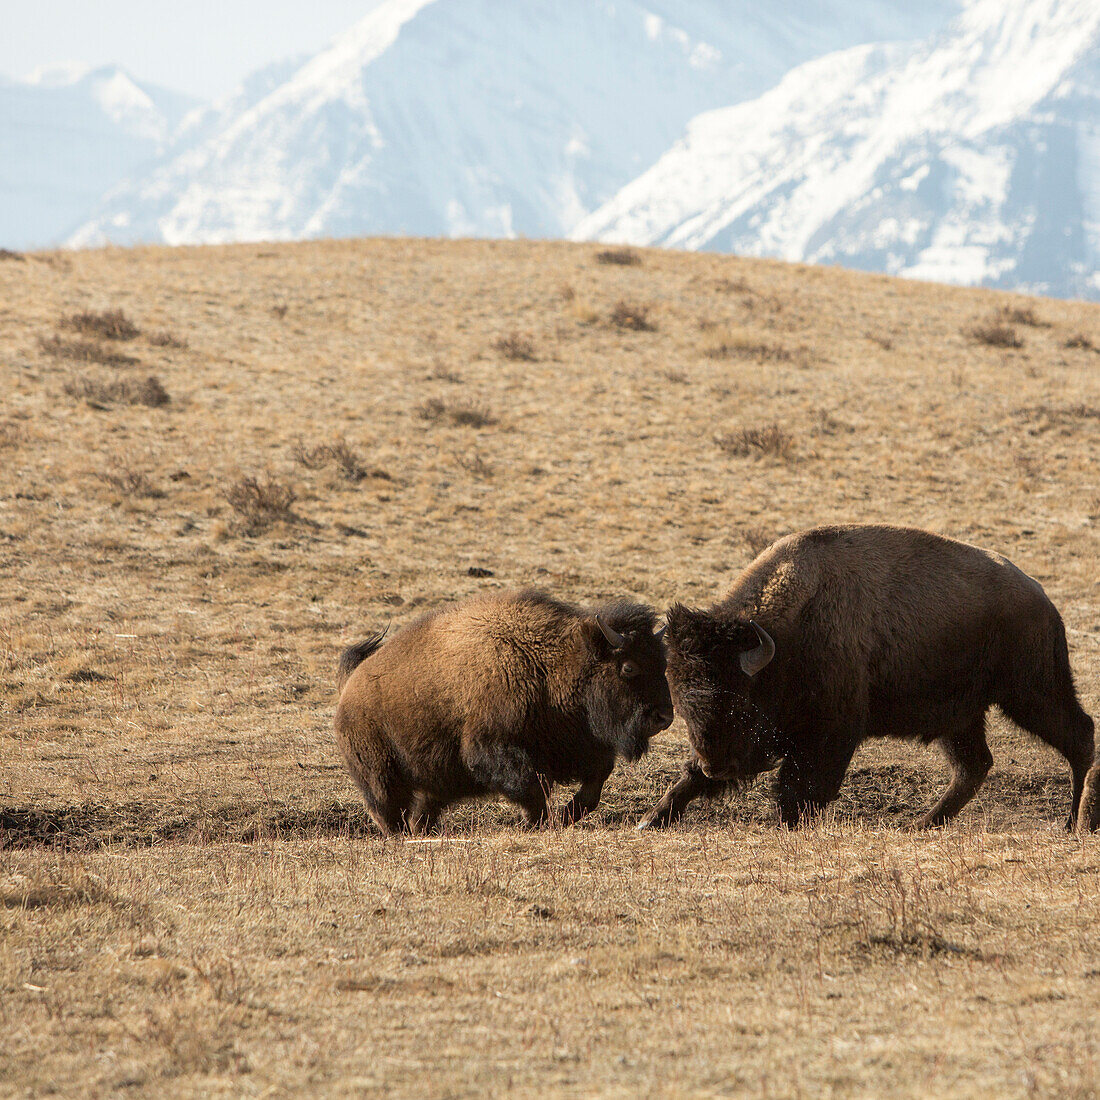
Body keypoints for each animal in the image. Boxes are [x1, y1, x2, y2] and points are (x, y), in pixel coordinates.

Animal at [334, 594, 668, 831]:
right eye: (628, 667)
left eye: (663, 664)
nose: (664, 717)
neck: (551, 666)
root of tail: (350, 685)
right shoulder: (494, 749)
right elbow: (532, 786)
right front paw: (539, 823)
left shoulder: (583, 748)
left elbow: (593, 788)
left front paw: (562, 816)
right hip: (380, 774)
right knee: (387, 809)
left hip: (434, 781)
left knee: (422, 809)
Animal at [642, 521, 1095, 827]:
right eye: (683, 707)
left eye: (738, 701)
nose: (714, 766)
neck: (783, 640)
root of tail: (1043, 600)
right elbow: (687, 780)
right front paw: (652, 819)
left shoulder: (831, 735)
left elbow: (800, 789)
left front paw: (791, 825)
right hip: (962, 716)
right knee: (975, 765)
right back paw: (922, 824)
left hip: (1031, 694)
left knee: (1080, 736)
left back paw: (1077, 821)